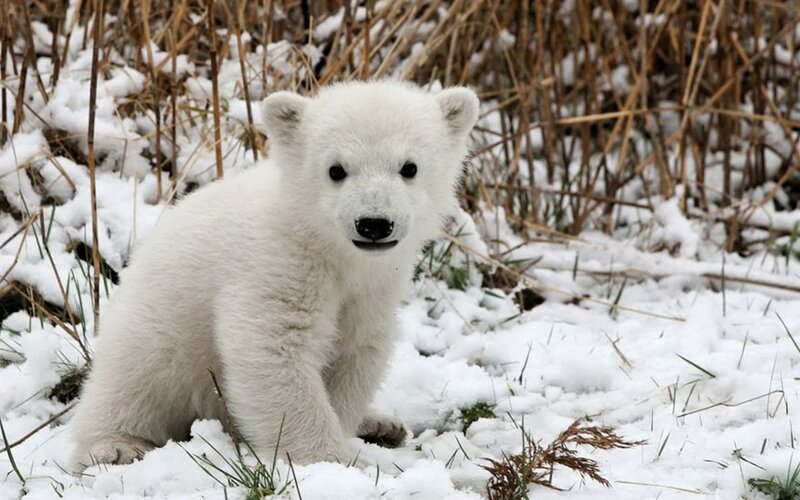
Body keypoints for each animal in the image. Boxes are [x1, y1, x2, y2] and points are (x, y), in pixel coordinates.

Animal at [69, 80, 479, 467]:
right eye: (336, 170)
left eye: (409, 167)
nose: (374, 223)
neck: (326, 245)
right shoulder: (277, 264)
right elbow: (273, 348)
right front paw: (329, 461)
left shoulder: (373, 287)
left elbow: (356, 350)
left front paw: (348, 433)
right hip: (158, 329)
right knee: (134, 380)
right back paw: (116, 445)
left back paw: (382, 423)